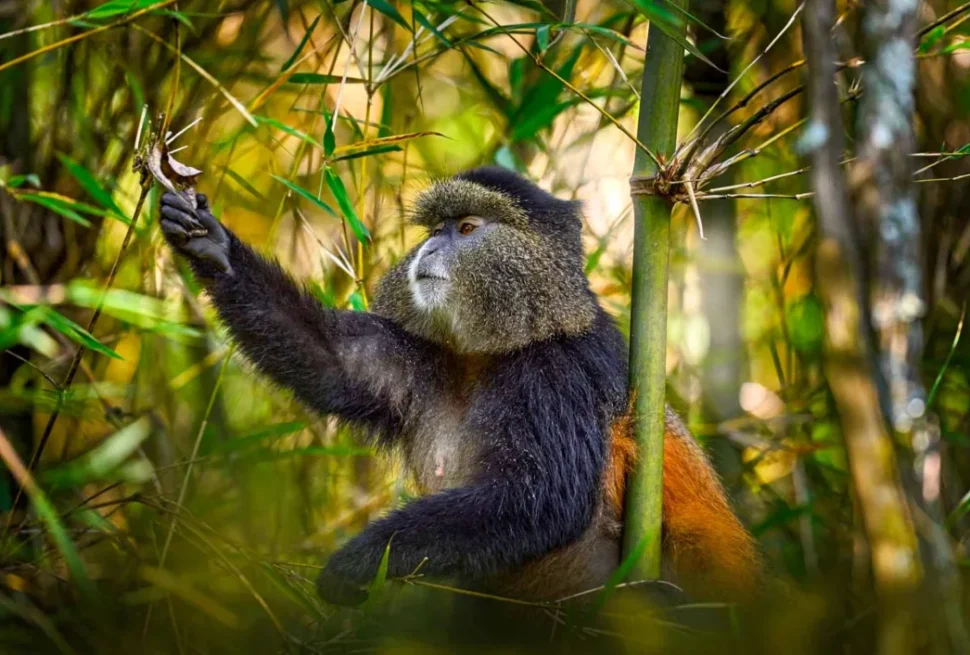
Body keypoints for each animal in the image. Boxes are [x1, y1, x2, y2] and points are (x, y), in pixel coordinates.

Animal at [159, 166, 761, 607]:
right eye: (434, 230)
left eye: (468, 229)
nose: (428, 251)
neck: (492, 354)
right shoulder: (424, 358)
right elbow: (335, 362)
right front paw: (212, 245)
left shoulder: (559, 373)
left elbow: (539, 497)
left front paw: (356, 563)